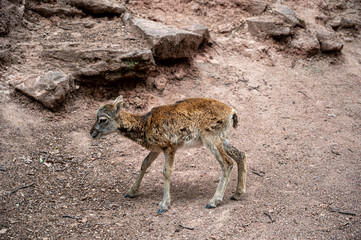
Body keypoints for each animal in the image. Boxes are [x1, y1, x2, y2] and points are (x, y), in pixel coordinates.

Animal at [91, 95, 246, 214]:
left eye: (103, 119)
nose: (92, 132)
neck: (145, 125)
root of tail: (232, 111)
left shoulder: (169, 147)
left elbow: (166, 172)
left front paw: (164, 205)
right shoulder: (156, 148)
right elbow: (144, 164)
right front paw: (130, 192)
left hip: (211, 138)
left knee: (227, 163)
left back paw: (213, 201)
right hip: (221, 138)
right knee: (241, 154)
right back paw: (237, 194)